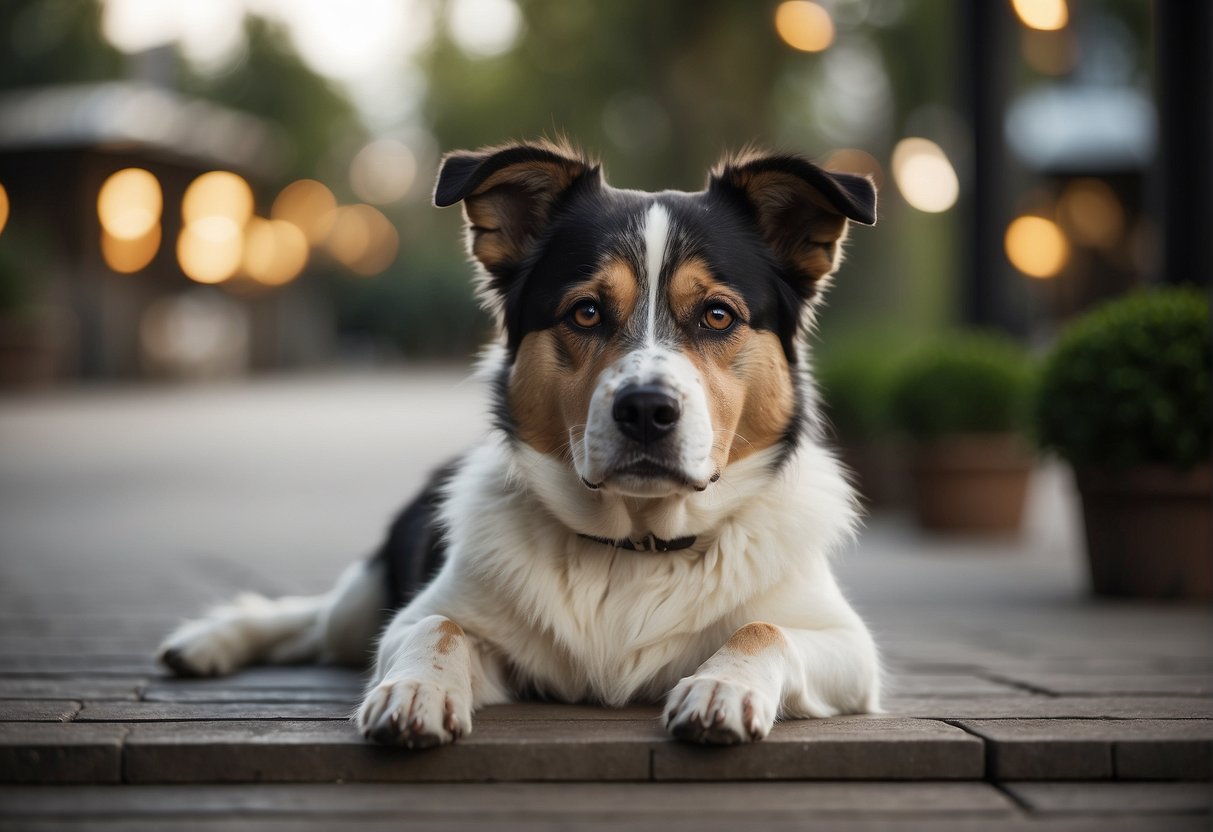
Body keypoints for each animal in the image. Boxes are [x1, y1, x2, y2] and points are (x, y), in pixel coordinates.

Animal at [158, 141, 883, 751]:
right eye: (585, 312)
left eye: (717, 315)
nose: (646, 410)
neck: (635, 546)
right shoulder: (423, 618)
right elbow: (437, 625)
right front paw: (416, 690)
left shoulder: (852, 652)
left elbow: (762, 627)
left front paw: (721, 687)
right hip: (357, 609)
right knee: (308, 619)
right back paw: (208, 642)